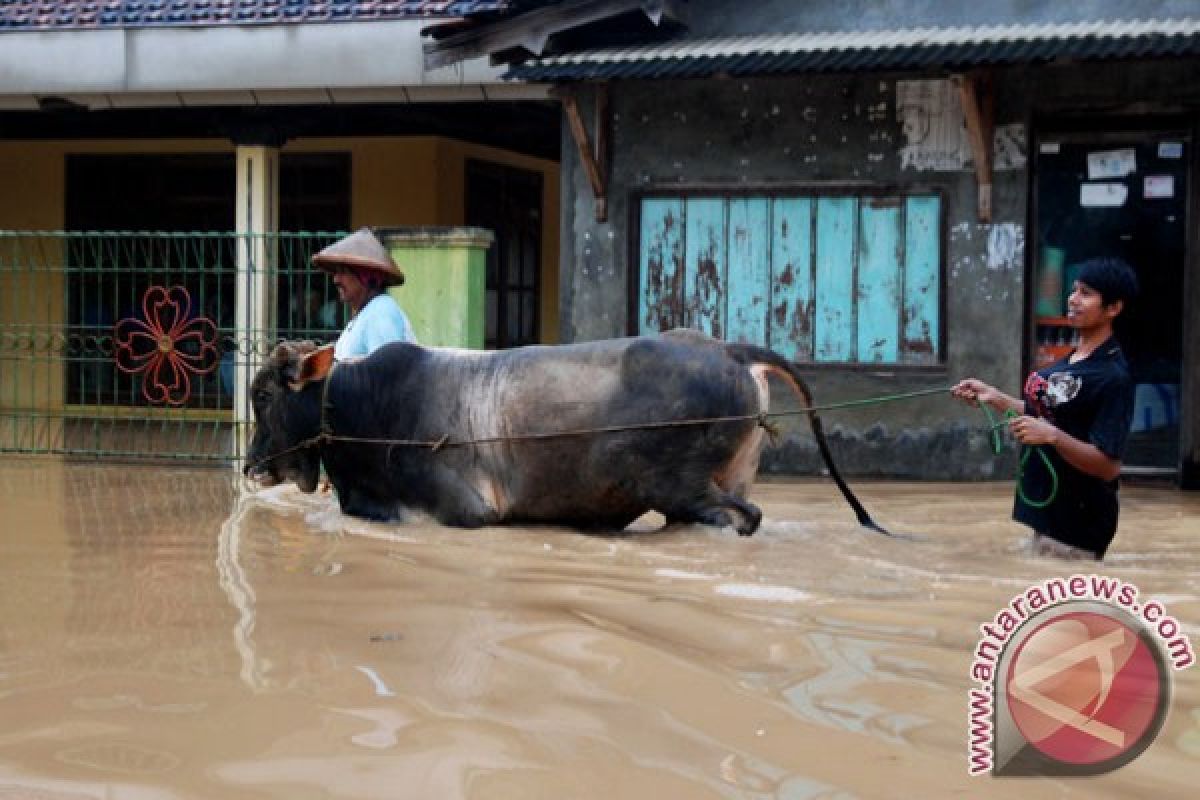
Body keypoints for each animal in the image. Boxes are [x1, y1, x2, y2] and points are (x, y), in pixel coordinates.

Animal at [246, 328, 883, 534]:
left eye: (263, 395)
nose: (251, 467)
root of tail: (730, 349)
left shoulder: (462, 512)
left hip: (682, 487)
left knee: (743, 518)